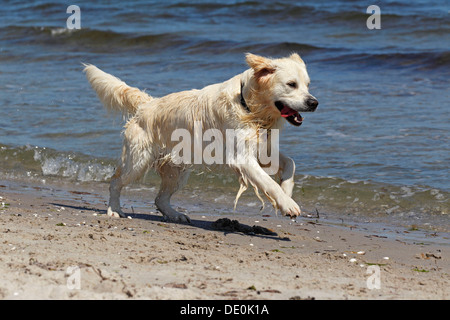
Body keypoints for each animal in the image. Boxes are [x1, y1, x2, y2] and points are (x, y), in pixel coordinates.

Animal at [83, 53, 316, 222]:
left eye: (307, 85)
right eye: (291, 84)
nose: (314, 102)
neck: (250, 108)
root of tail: (147, 104)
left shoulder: (263, 149)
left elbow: (290, 163)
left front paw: (287, 190)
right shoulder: (242, 158)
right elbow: (268, 183)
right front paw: (288, 204)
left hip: (177, 171)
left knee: (160, 198)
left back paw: (176, 215)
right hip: (138, 161)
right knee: (115, 181)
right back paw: (114, 210)